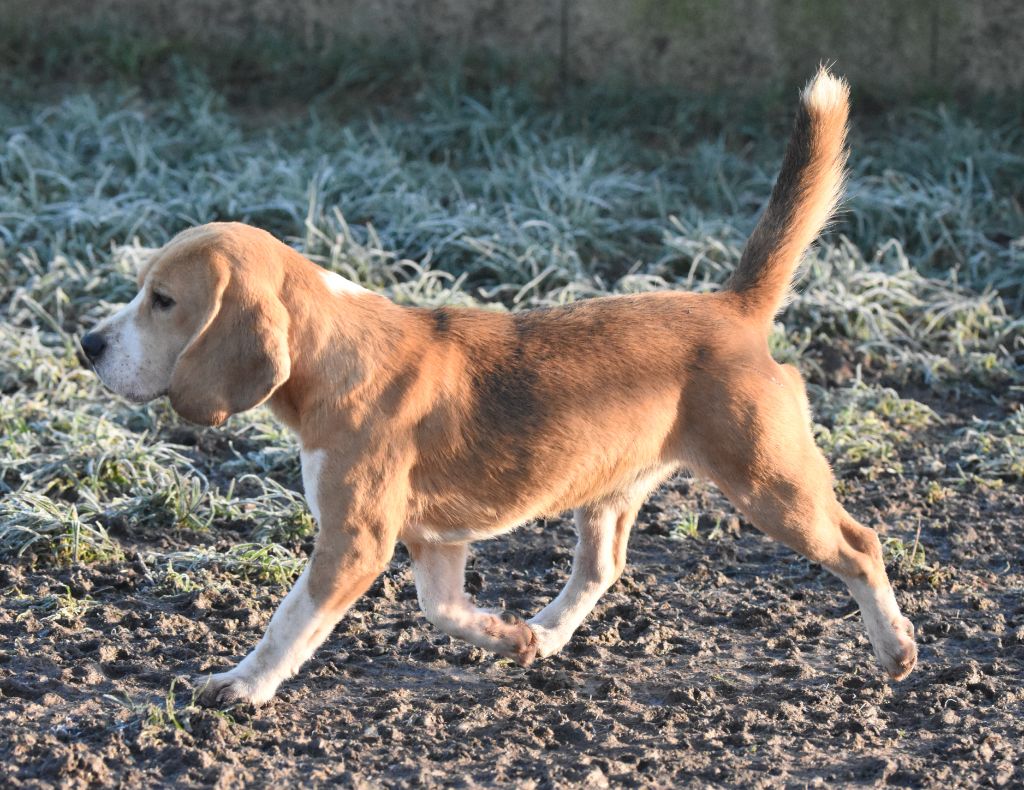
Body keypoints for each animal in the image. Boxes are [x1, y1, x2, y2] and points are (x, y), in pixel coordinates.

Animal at [77, 68, 913, 709]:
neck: (333, 349)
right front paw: (506, 638)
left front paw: (242, 686)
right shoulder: (434, 542)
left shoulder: (354, 542)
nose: (87, 345)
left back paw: (896, 648)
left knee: (860, 545)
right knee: (600, 570)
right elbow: (442, 609)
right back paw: (543, 631)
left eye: (162, 302)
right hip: (610, 489)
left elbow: (290, 620)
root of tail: (730, 306)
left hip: (771, 483)